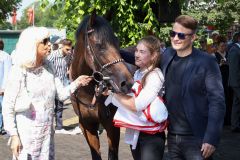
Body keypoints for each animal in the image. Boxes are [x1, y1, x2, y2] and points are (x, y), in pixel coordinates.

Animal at [70, 11, 133, 159]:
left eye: (117, 42)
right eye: (100, 45)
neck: (88, 92)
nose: (127, 82)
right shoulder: (87, 126)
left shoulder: (111, 125)